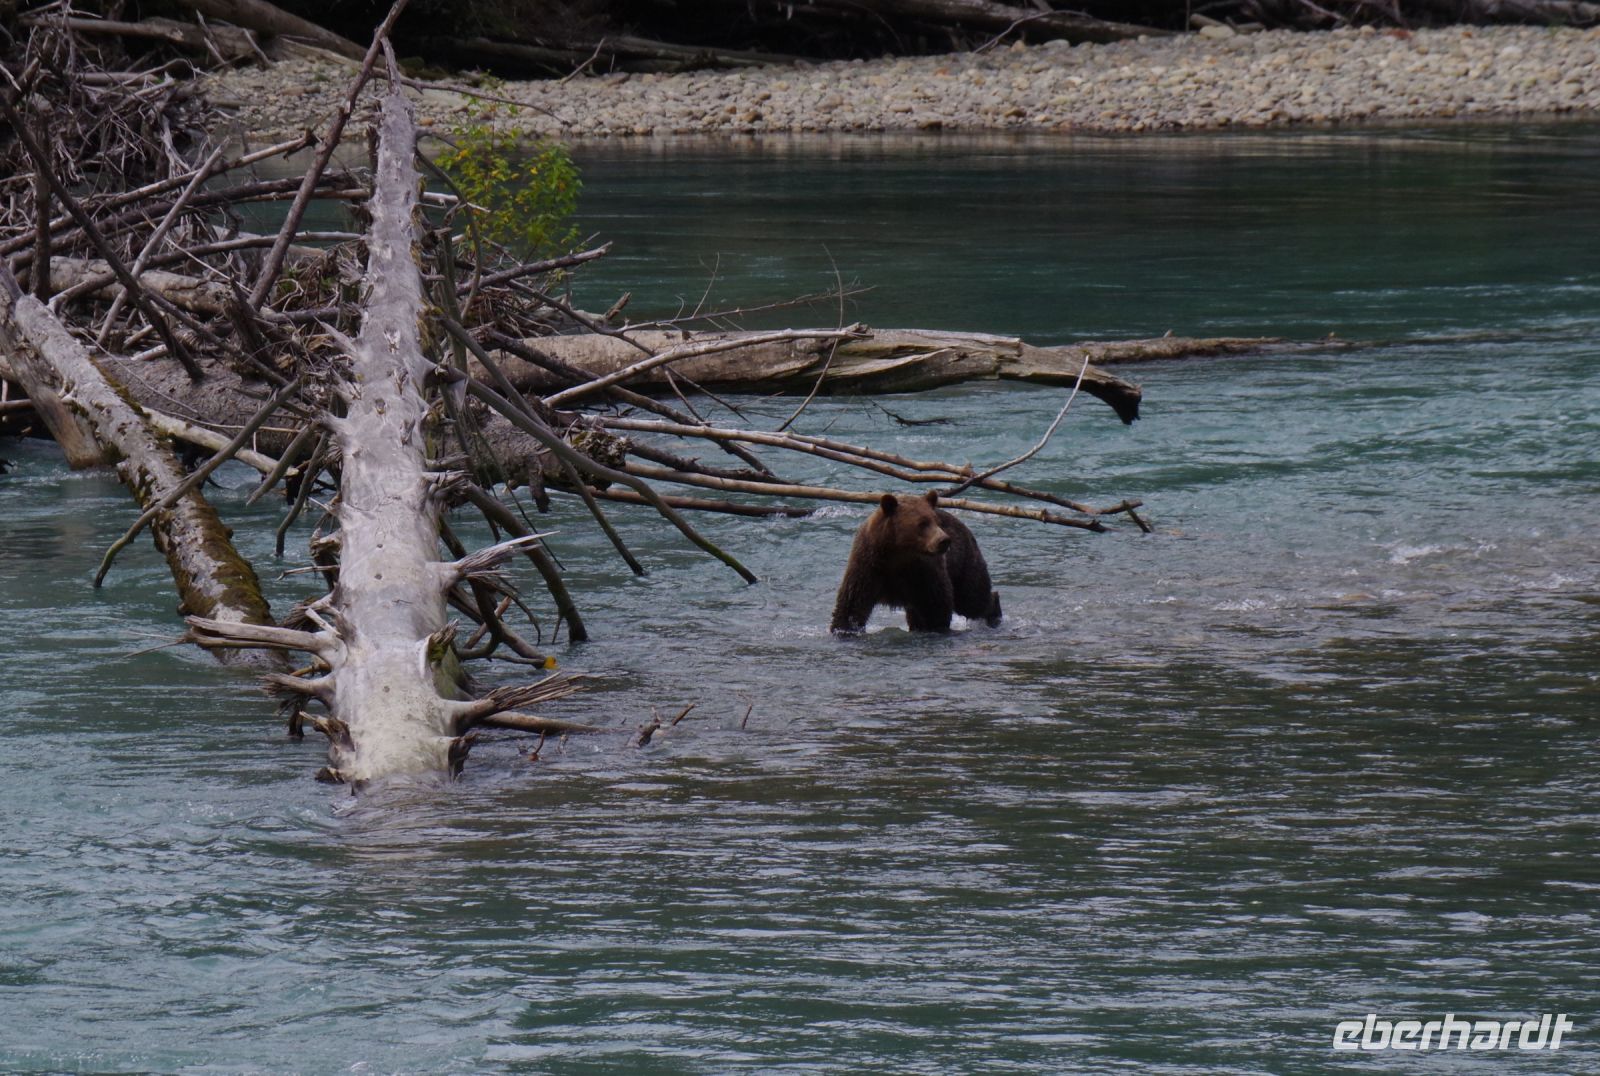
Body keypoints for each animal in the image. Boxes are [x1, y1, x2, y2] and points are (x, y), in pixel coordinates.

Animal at [830, 491, 1002, 634]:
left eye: (936, 521)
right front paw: (844, 629)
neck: (897, 555)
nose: (944, 540)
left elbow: (936, 604)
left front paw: (935, 626)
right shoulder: (868, 565)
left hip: (963, 562)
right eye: (922, 523)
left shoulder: (923, 572)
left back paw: (994, 614)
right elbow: (852, 604)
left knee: (972, 598)